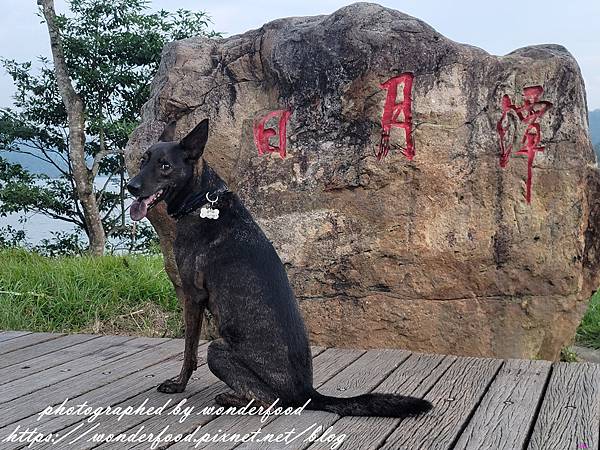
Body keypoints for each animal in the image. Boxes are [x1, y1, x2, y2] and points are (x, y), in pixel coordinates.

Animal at [126, 119, 432, 418]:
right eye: (143, 160)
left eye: (165, 165)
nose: (131, 186)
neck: (202, 200)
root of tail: (308, 393)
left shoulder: (192, 296)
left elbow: (189, 351)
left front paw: (179, 384)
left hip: (218, 351)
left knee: (270, 400)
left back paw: (229, 398)